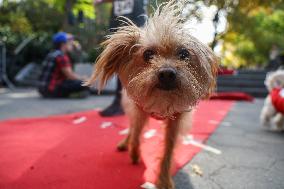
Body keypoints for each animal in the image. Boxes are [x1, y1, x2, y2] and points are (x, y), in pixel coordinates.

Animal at [86, 0, 217, 188]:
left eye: (184, 54)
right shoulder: (139, 109)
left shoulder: (176, 122)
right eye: (148, 54)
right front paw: (134, 152)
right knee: (132, 128)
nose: (167, 73)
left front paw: (164, 179)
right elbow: (136, 133)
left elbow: (168, 150)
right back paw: (126, 144)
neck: (162, 104)